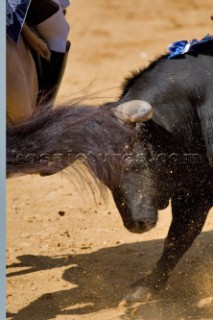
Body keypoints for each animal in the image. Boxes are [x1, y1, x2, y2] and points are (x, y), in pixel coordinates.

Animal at [7, 40, 213, 302]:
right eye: (105, 178)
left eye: (136, 161)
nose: (137, 223)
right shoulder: (192, 192)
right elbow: (177, 238)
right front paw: (148, 287)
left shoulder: (197, 194)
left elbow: (179, 237)